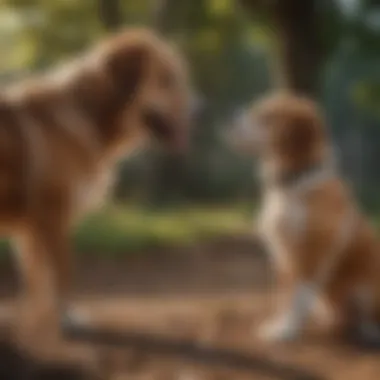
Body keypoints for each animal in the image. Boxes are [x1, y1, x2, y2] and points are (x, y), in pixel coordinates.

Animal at [0, 29, 194, 326]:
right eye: (167, 80)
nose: (199, 110)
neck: (87, 115)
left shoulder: (32, 228)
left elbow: (37, 280)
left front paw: (36, 318)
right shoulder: (52, 216)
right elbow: (62, 273)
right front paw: (66, 316)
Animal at [229, 93, 380, 344]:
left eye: (267, 117)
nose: (229, 119)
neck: (294, 183)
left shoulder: (310, 252)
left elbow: (299, 294)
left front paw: (286, 330)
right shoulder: (282, 255)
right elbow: (284, 294)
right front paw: (279, 324)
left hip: (366, 288)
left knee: (366, 317)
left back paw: (369, 331)